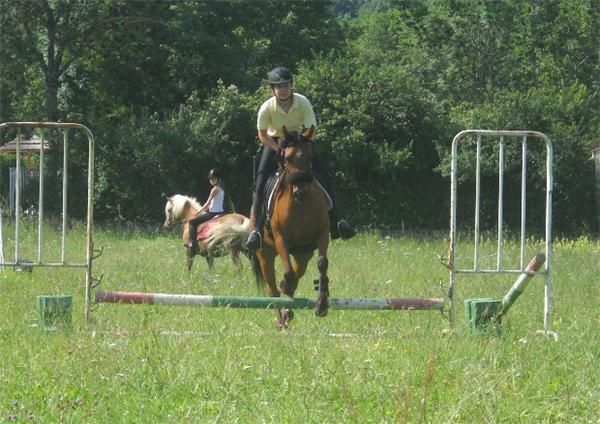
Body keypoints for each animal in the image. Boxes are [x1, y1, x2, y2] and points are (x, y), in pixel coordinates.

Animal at [207, 126, 331, 328]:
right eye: (287, 159)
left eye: (310, 157)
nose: (300, 192)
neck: (301, 206)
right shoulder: (281, 237)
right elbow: (287, 273)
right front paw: (286, 287)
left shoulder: (322, 233)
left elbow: (321, 263)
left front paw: (322, 303)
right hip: (264, 255)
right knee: (273, 289)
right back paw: (281, 320)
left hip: (303, 254)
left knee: (297, 274)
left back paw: (288, 311)